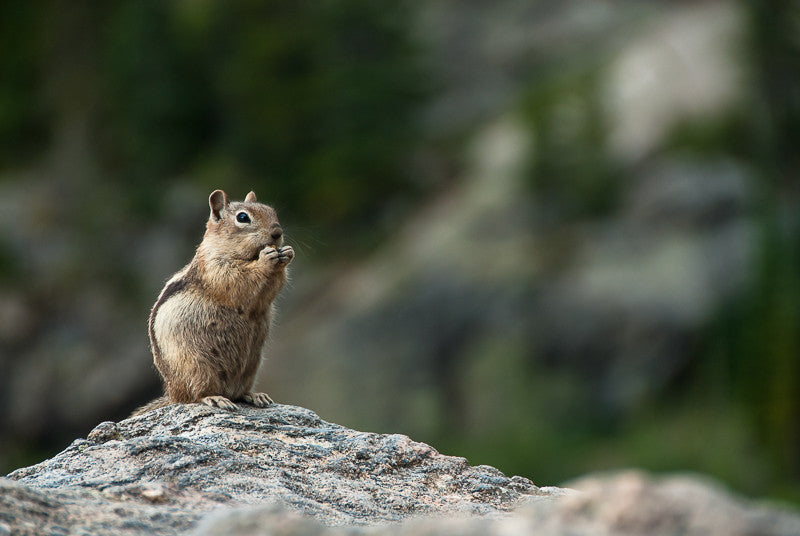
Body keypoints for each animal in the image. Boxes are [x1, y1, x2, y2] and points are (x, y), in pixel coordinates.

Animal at [132, 189, 294, 415]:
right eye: (243, 217)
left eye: (272, 211)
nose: (277, 233)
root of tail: (173, 395)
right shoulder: (214, 267)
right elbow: (237, 280)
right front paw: (266, 258)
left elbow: (271, 289)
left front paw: (287, 253)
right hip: (198, 367)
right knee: (196, 396)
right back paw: (215, 398)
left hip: (251, 366)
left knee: (239, 392)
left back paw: (255, 395)